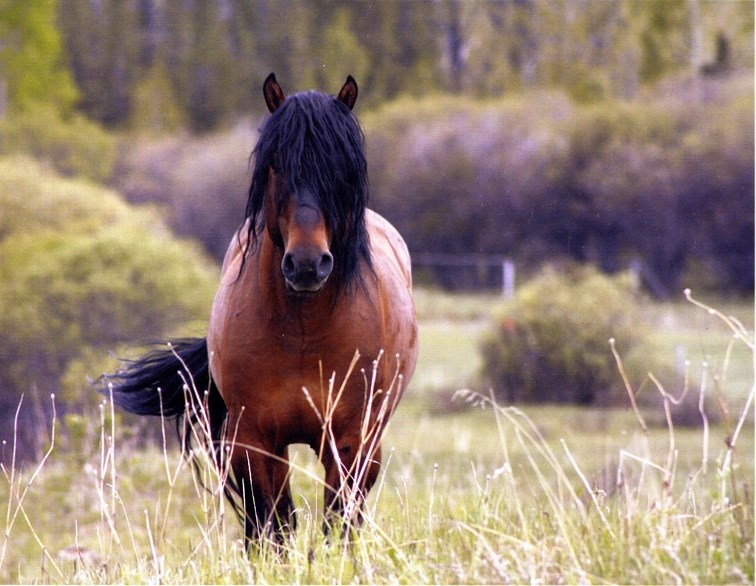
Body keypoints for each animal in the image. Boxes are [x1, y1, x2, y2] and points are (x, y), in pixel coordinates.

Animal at [100, 74, 420, 548]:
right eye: (276, 166)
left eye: (341, 169)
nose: (307, 264)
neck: (305, 332)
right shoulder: (254, 442)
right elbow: (274, 527)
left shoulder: (349, 444)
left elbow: (336, 525)